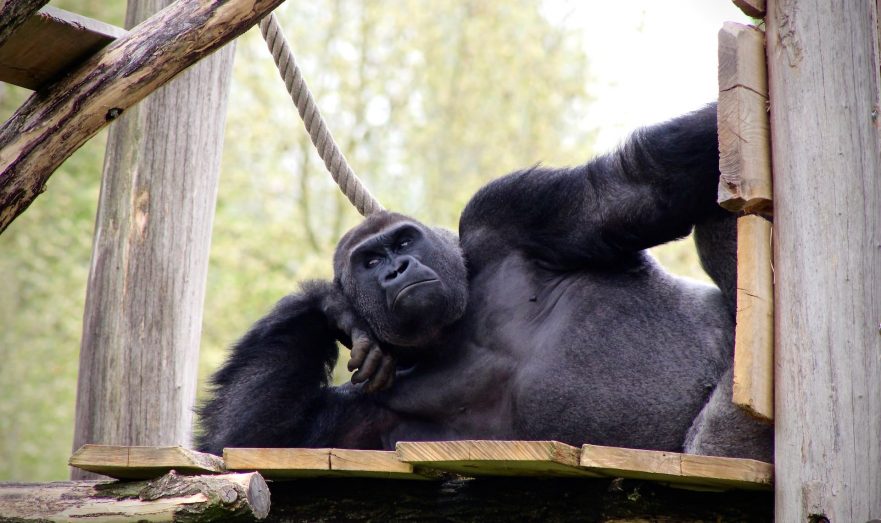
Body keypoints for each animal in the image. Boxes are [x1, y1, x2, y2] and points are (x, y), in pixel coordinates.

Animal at [198, 105, 768, 462]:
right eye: (370, 261)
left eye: (404, 242)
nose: (397, 270)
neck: (458, 326)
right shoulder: (370, 408)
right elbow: (250, 442)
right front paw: (333, 306)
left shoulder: (503, 210)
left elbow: (640, 183)